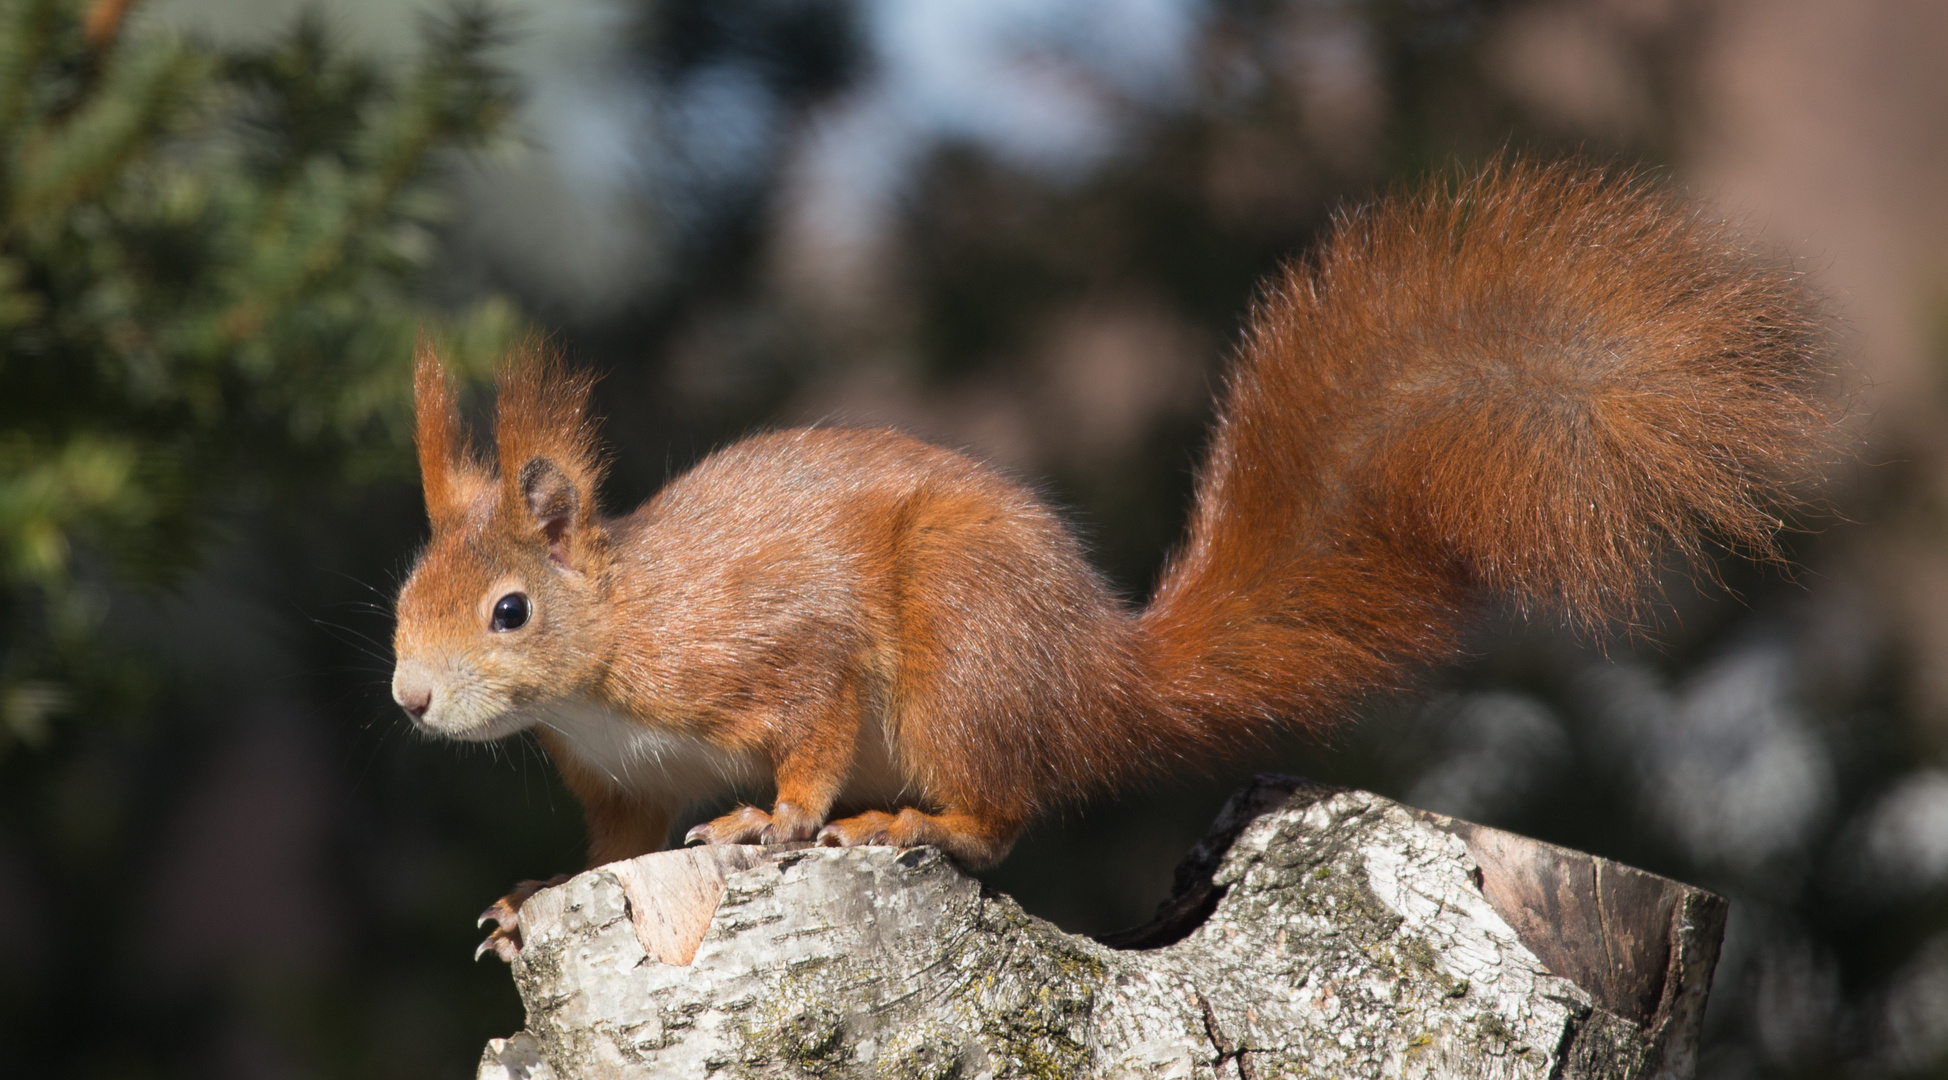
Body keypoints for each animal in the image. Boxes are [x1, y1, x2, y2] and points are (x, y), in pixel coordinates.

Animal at [391, 157, 1823, 951]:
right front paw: (532, 894)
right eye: (403, 601)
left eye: (510, 611)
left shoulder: (763, 648)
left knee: (997, 818)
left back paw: (903, 822)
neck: (613, 645)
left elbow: (809, 720)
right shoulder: (618, 780)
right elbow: (610, 853)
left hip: (962, 650)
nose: (407, 699)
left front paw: (774, 817)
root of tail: (1096, 680)